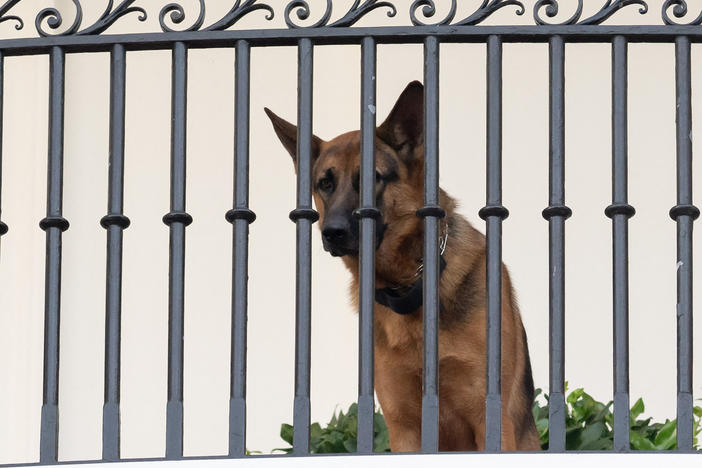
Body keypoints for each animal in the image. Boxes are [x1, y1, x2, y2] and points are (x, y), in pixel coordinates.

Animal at [266, 81, 540, 454]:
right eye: (325, 183)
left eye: (373, 178)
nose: (332, 233)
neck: (410, 286)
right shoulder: (404, 429)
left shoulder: (490, 421)